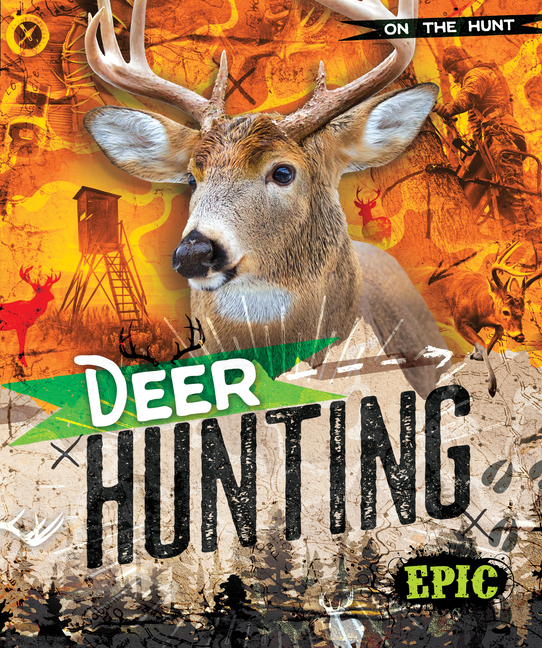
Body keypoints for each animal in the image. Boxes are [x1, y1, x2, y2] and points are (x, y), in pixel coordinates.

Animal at [412, 243, 542, 397]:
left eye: (523, 312)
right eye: (506, 311)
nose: (520, 336)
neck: (479, 304)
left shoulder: (489, 321)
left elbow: (497, 332)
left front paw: (476, 356)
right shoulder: (459, 322)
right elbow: (481, 343)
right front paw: (492, 387)